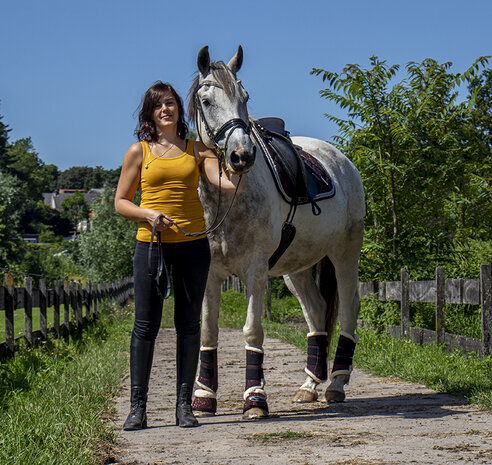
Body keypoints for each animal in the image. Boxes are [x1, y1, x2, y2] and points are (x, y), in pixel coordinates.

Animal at [188, 45, 366, 418]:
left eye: (245, 97)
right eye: (206, 101)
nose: (241, 155)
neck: (228, 196)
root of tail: (340, 160)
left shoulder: (255, 270)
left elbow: (253, 331)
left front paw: (255, 398)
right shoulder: (211, 273)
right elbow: (208, 332)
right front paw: (204, 397)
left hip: (345, 254)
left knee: (348, 308)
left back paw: (337, 383)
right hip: (296, 268)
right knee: (316, 312)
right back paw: (310, 385)